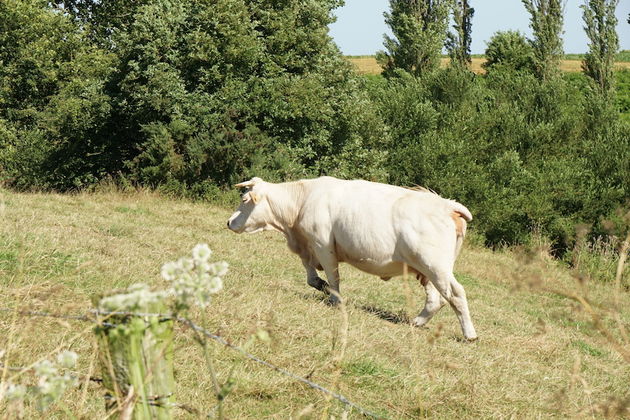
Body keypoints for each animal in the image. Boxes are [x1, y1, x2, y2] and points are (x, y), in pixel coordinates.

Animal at [228, 176, 478, 340]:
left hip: (435, 266)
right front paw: (322, 286)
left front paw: (335, 298)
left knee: (456, 294)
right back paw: (416, 322)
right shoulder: (308, 246)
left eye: (244, 200)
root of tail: (447, 205)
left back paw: (470, 334)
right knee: (436, 299)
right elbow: (311, 276)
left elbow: (333, 276)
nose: (229, 222)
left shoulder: (323, 244)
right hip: (428, 269)